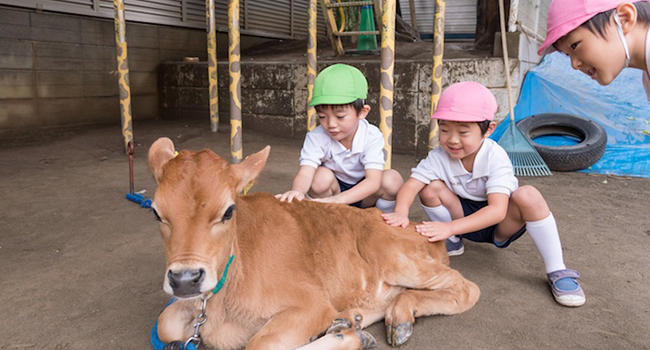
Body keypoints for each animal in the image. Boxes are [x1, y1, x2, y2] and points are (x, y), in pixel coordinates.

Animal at [149, 138, 478, 348]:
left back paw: (396, 319)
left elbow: (259, 344)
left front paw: (350, 338)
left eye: (228, 211)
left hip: (392, 254)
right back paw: (362, 318)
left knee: (465, 288)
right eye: (155, 212)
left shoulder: (311, 304)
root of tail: (413, 224)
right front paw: (348, 331)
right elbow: (165, 325)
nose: (185, 279)